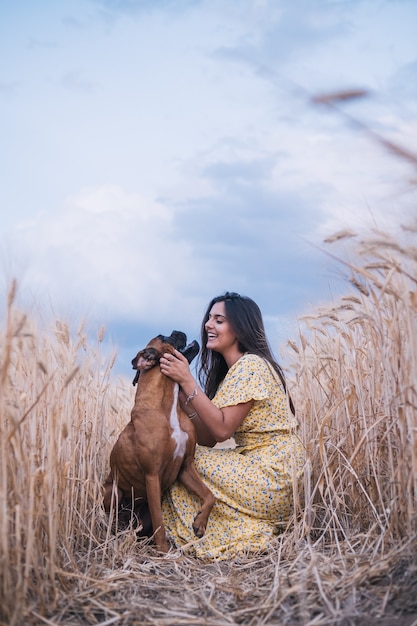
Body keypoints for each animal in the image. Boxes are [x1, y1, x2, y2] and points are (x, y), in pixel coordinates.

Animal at [102, 330, 214, 548]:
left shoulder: (185, 468)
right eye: (164, 337)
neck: (167, 405)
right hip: (114, 492)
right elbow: (160, 526)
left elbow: (209, 495)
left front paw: (200, 523)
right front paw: (164, 551)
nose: (178, 331)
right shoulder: (152, 476)